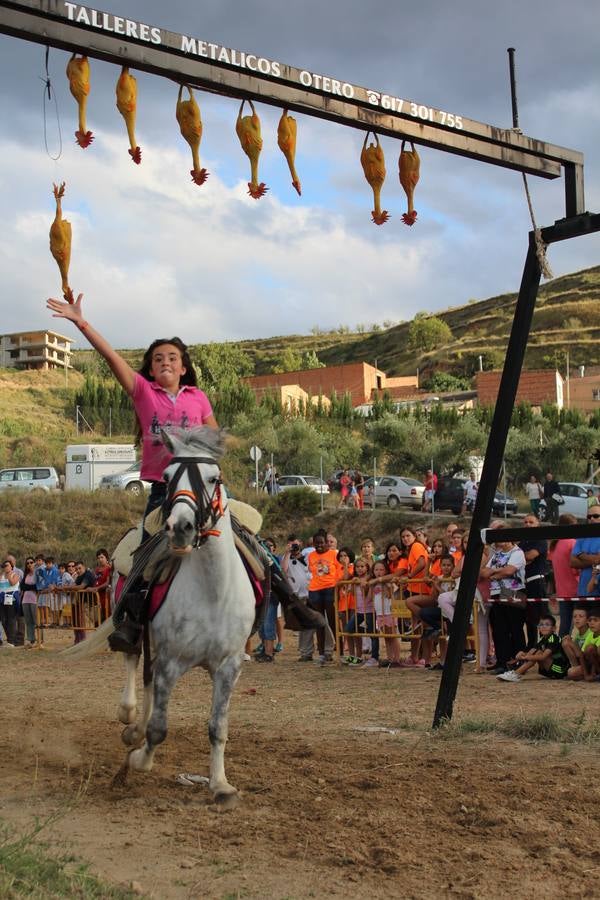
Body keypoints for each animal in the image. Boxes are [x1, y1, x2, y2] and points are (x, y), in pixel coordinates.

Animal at [67, 428, 254, 808]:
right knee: (134, 664)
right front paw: (138, 760)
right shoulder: (172, 660)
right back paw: (129, 719)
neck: (213, 590)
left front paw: (221, 785)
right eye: (167, 478)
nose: (180, 526)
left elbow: (218, 728)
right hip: (136, 629)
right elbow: (158, 728)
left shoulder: (228, 666)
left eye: (213, 478)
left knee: (148, 680)